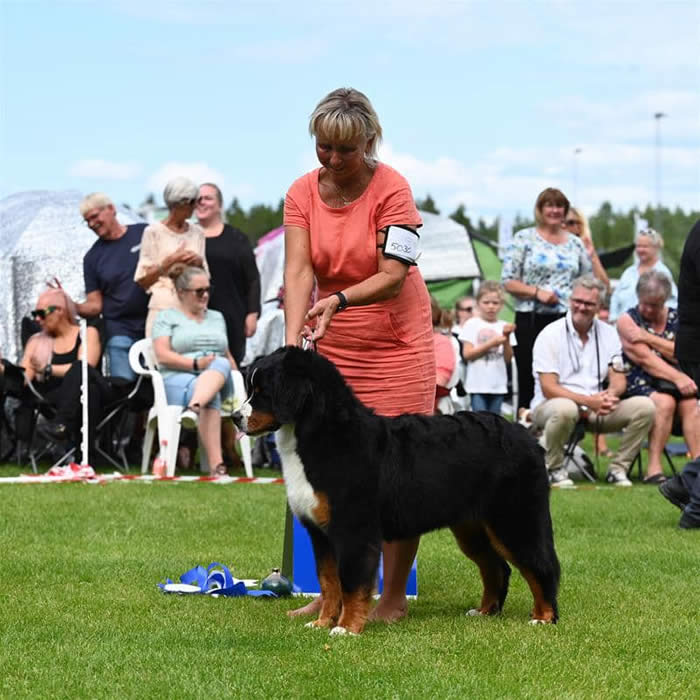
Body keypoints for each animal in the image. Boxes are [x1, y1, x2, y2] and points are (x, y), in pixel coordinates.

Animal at [232, 348, 560, 636]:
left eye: (263, 391)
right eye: (250, 387)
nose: (235, 416)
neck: (323, 435)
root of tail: (526, 437)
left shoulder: (353, 529)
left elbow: (351, 583)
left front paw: (346, 628)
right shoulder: (321, 535)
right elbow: (328, 583)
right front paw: (322, 622)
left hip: (515, 520)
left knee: (542, 566)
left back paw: (544, 617)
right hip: (472, 528)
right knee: (496, 567)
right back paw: (485, 612)